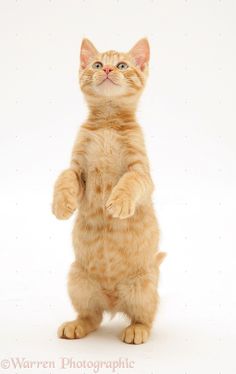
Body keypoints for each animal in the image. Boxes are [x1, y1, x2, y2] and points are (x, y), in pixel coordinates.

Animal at [52, 38, 165, 344]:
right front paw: (61, 204)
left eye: (123, 65)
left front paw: (120, 202)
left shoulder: (141, 171)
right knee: (92, 316)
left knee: (146, 316)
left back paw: (137, 330)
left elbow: (131, 182)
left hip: (143, 289)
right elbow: (63, 177)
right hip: (78, 281)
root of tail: (113, 300)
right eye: (97, 64)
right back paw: (76, 324)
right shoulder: (77, 169)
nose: (107, 70)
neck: (107, 123)